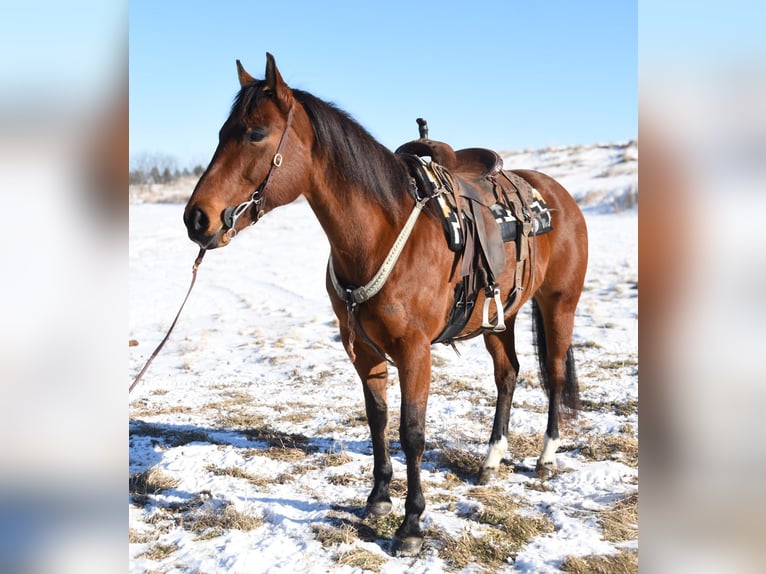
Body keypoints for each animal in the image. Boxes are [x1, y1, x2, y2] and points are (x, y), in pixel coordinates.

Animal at [183, 53, 588, 555]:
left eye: (255, 133)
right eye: (223, 132)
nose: (197, 218)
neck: (382, 231)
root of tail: (558, 196)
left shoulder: (414, 353)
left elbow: (411, 433)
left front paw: (412, 523)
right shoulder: (362, 349)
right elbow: (377, 420)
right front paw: (378, 497)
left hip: (559, 305)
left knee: (553, 374)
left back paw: (547, 456)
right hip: (501, 317)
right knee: (508, 375)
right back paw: (491, 460)